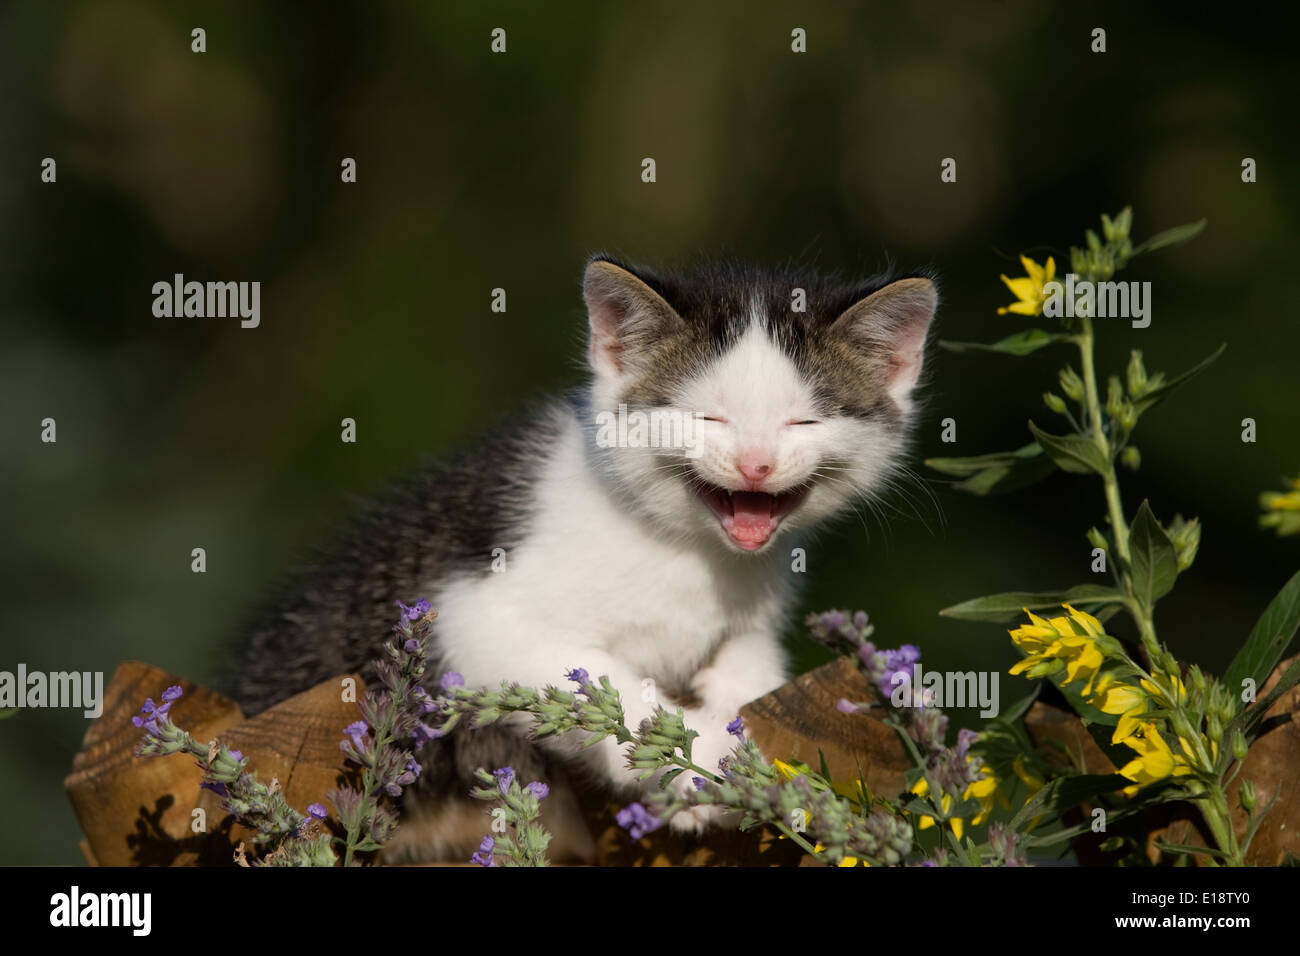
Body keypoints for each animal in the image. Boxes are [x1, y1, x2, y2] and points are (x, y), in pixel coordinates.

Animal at [233, 254, 941, 858]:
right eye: (707, 419)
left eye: (805, 423)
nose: (756, 464)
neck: (689, 551)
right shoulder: (474, 610)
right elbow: (598, 681)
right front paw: (704, 760)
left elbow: (754, 664)